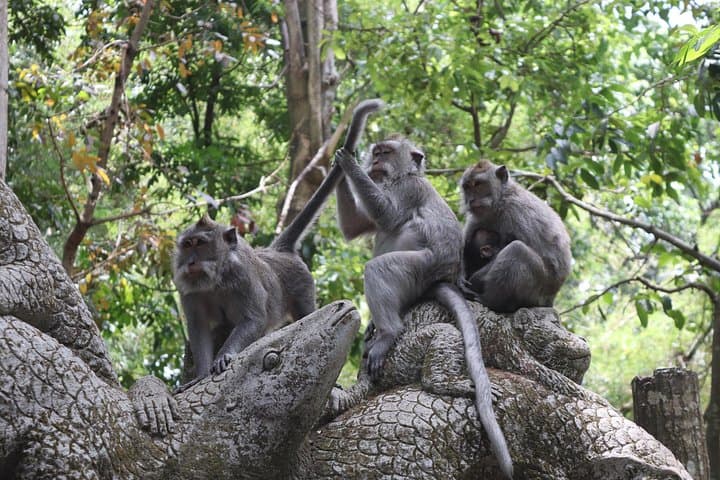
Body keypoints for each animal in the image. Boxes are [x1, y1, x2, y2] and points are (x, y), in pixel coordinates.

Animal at [173, 99, 384, 383]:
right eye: (188, 245)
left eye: (201, 244)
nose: (192, 261)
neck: (215, 280)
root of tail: (279, 251)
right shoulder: (189, 291)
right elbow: (200, 329)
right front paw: (201, 374)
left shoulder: (242, 277)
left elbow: (254, 319)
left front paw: (224, 357)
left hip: (303, 285)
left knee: (306, 313)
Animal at [333, 137, 513, 479]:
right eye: (377, 152)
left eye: (386, 152)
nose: (375, 162)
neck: (402, 176)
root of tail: (441, 278)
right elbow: (353, 227)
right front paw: (337, 164)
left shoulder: (410, 188)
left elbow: (388, 214)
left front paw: (346, 162)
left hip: (419, 268)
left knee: (380, 267)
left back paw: (388, 332)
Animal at [460, 159, 572, 312]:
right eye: (467, 187)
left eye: (478, 184)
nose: (471, 200)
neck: (499, 202)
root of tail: (550, 300)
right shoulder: (476, 219)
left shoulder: (517, 213)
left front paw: (474, 280)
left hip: (537, 291)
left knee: (517, 250)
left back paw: (491, 301)